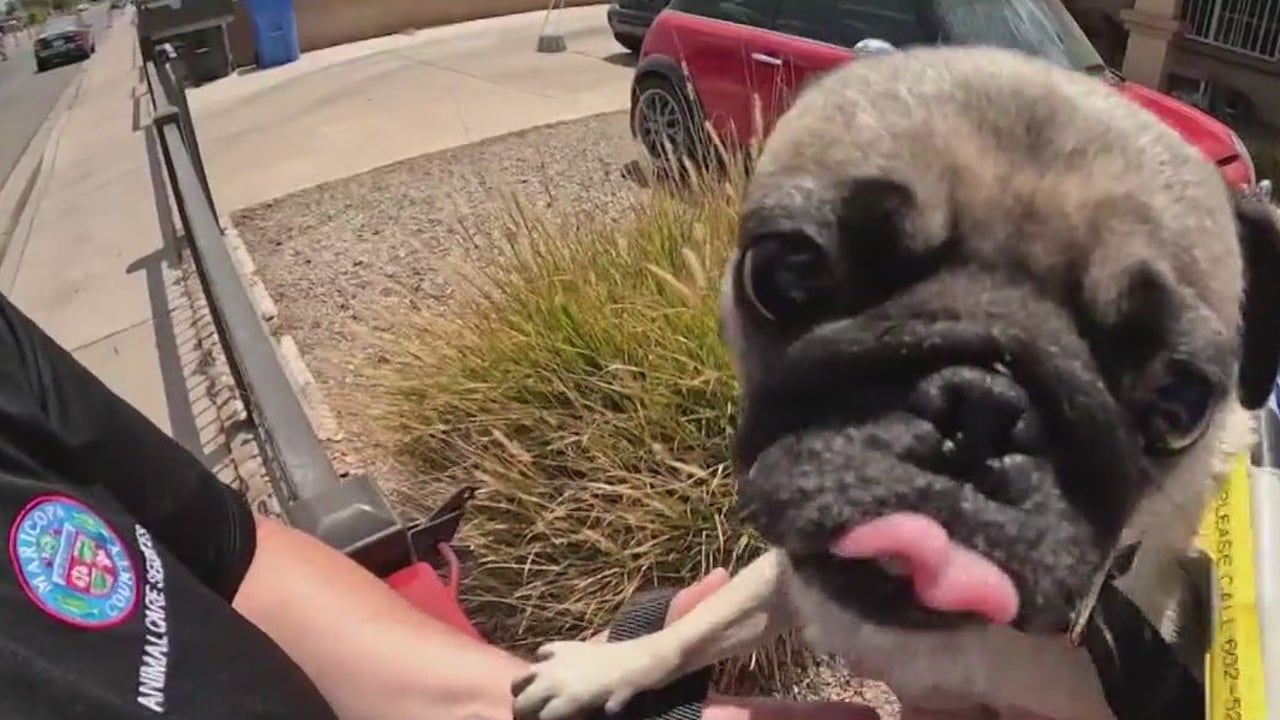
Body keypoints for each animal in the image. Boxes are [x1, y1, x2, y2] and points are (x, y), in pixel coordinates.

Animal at [509, 46, 1280, 717]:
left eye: (1180, 404)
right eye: (788, 271)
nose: (980, 405)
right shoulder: (791, 570)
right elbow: (707, 622)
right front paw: (604, 667)